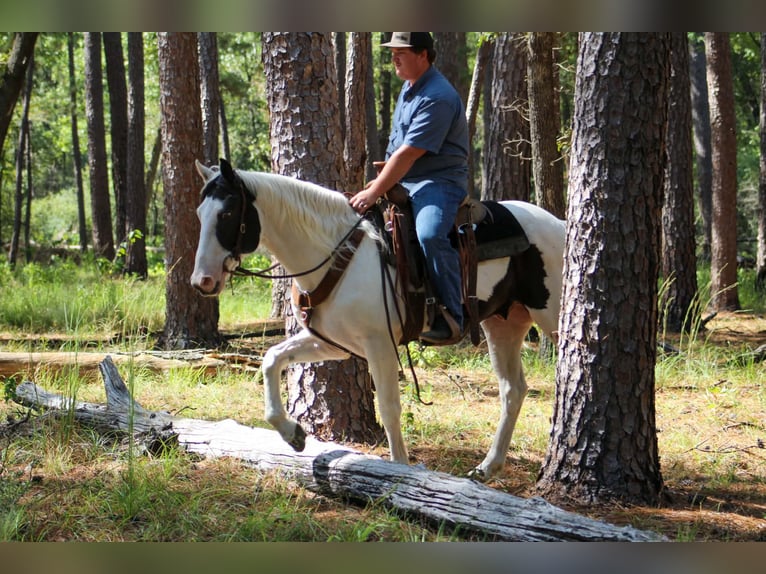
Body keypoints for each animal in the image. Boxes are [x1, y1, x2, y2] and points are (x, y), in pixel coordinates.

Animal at [191, 158, 566, 481]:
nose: (202, 282)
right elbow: (271, 359)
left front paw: (399, 470)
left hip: (550, 317)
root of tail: (560, 225)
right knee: (512, 389)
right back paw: (488, 467)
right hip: (503, 323)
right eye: (199, 213)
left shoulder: (379, 343)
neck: (336, 253)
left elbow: (389, 406)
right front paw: (292, 433)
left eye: (226, 212)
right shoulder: (333, 343)